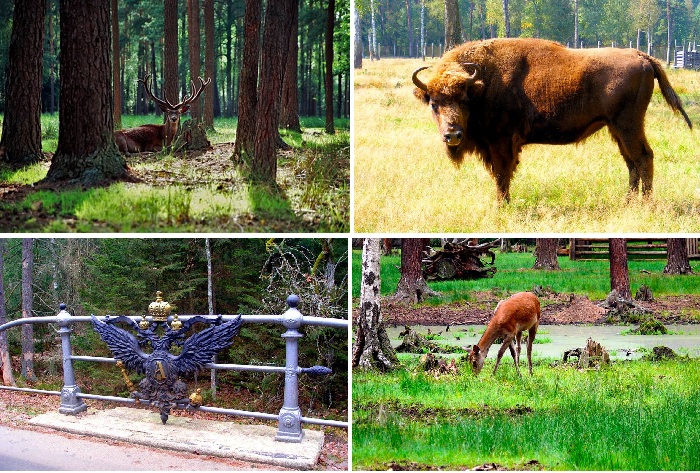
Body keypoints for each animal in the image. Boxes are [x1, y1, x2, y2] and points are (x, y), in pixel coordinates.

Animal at [412, 36, 692, 199]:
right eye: (434, 104)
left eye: (464, 100)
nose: (453, 135)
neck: (481, 84)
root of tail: (642, 56)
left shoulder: (501, 143)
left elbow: (502, 175)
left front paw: (502, 205)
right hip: (617, 128)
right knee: (631, 161)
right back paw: (629, 201)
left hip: (627, 125)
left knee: (643, 157)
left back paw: (644, 204)